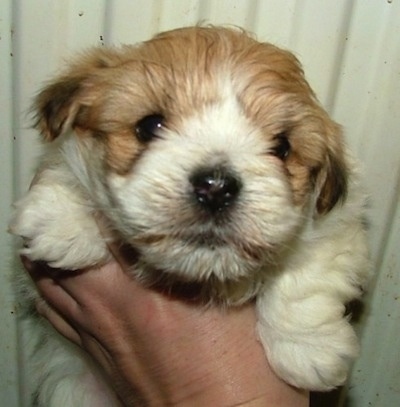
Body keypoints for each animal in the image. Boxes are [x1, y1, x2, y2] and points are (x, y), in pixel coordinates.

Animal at [9, 27, 370, 406]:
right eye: (149, 126)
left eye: (282, 147)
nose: (216, 187)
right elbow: (66, 167)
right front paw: (63, 220)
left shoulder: (338, 226)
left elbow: (304, 277)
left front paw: (307, 349)